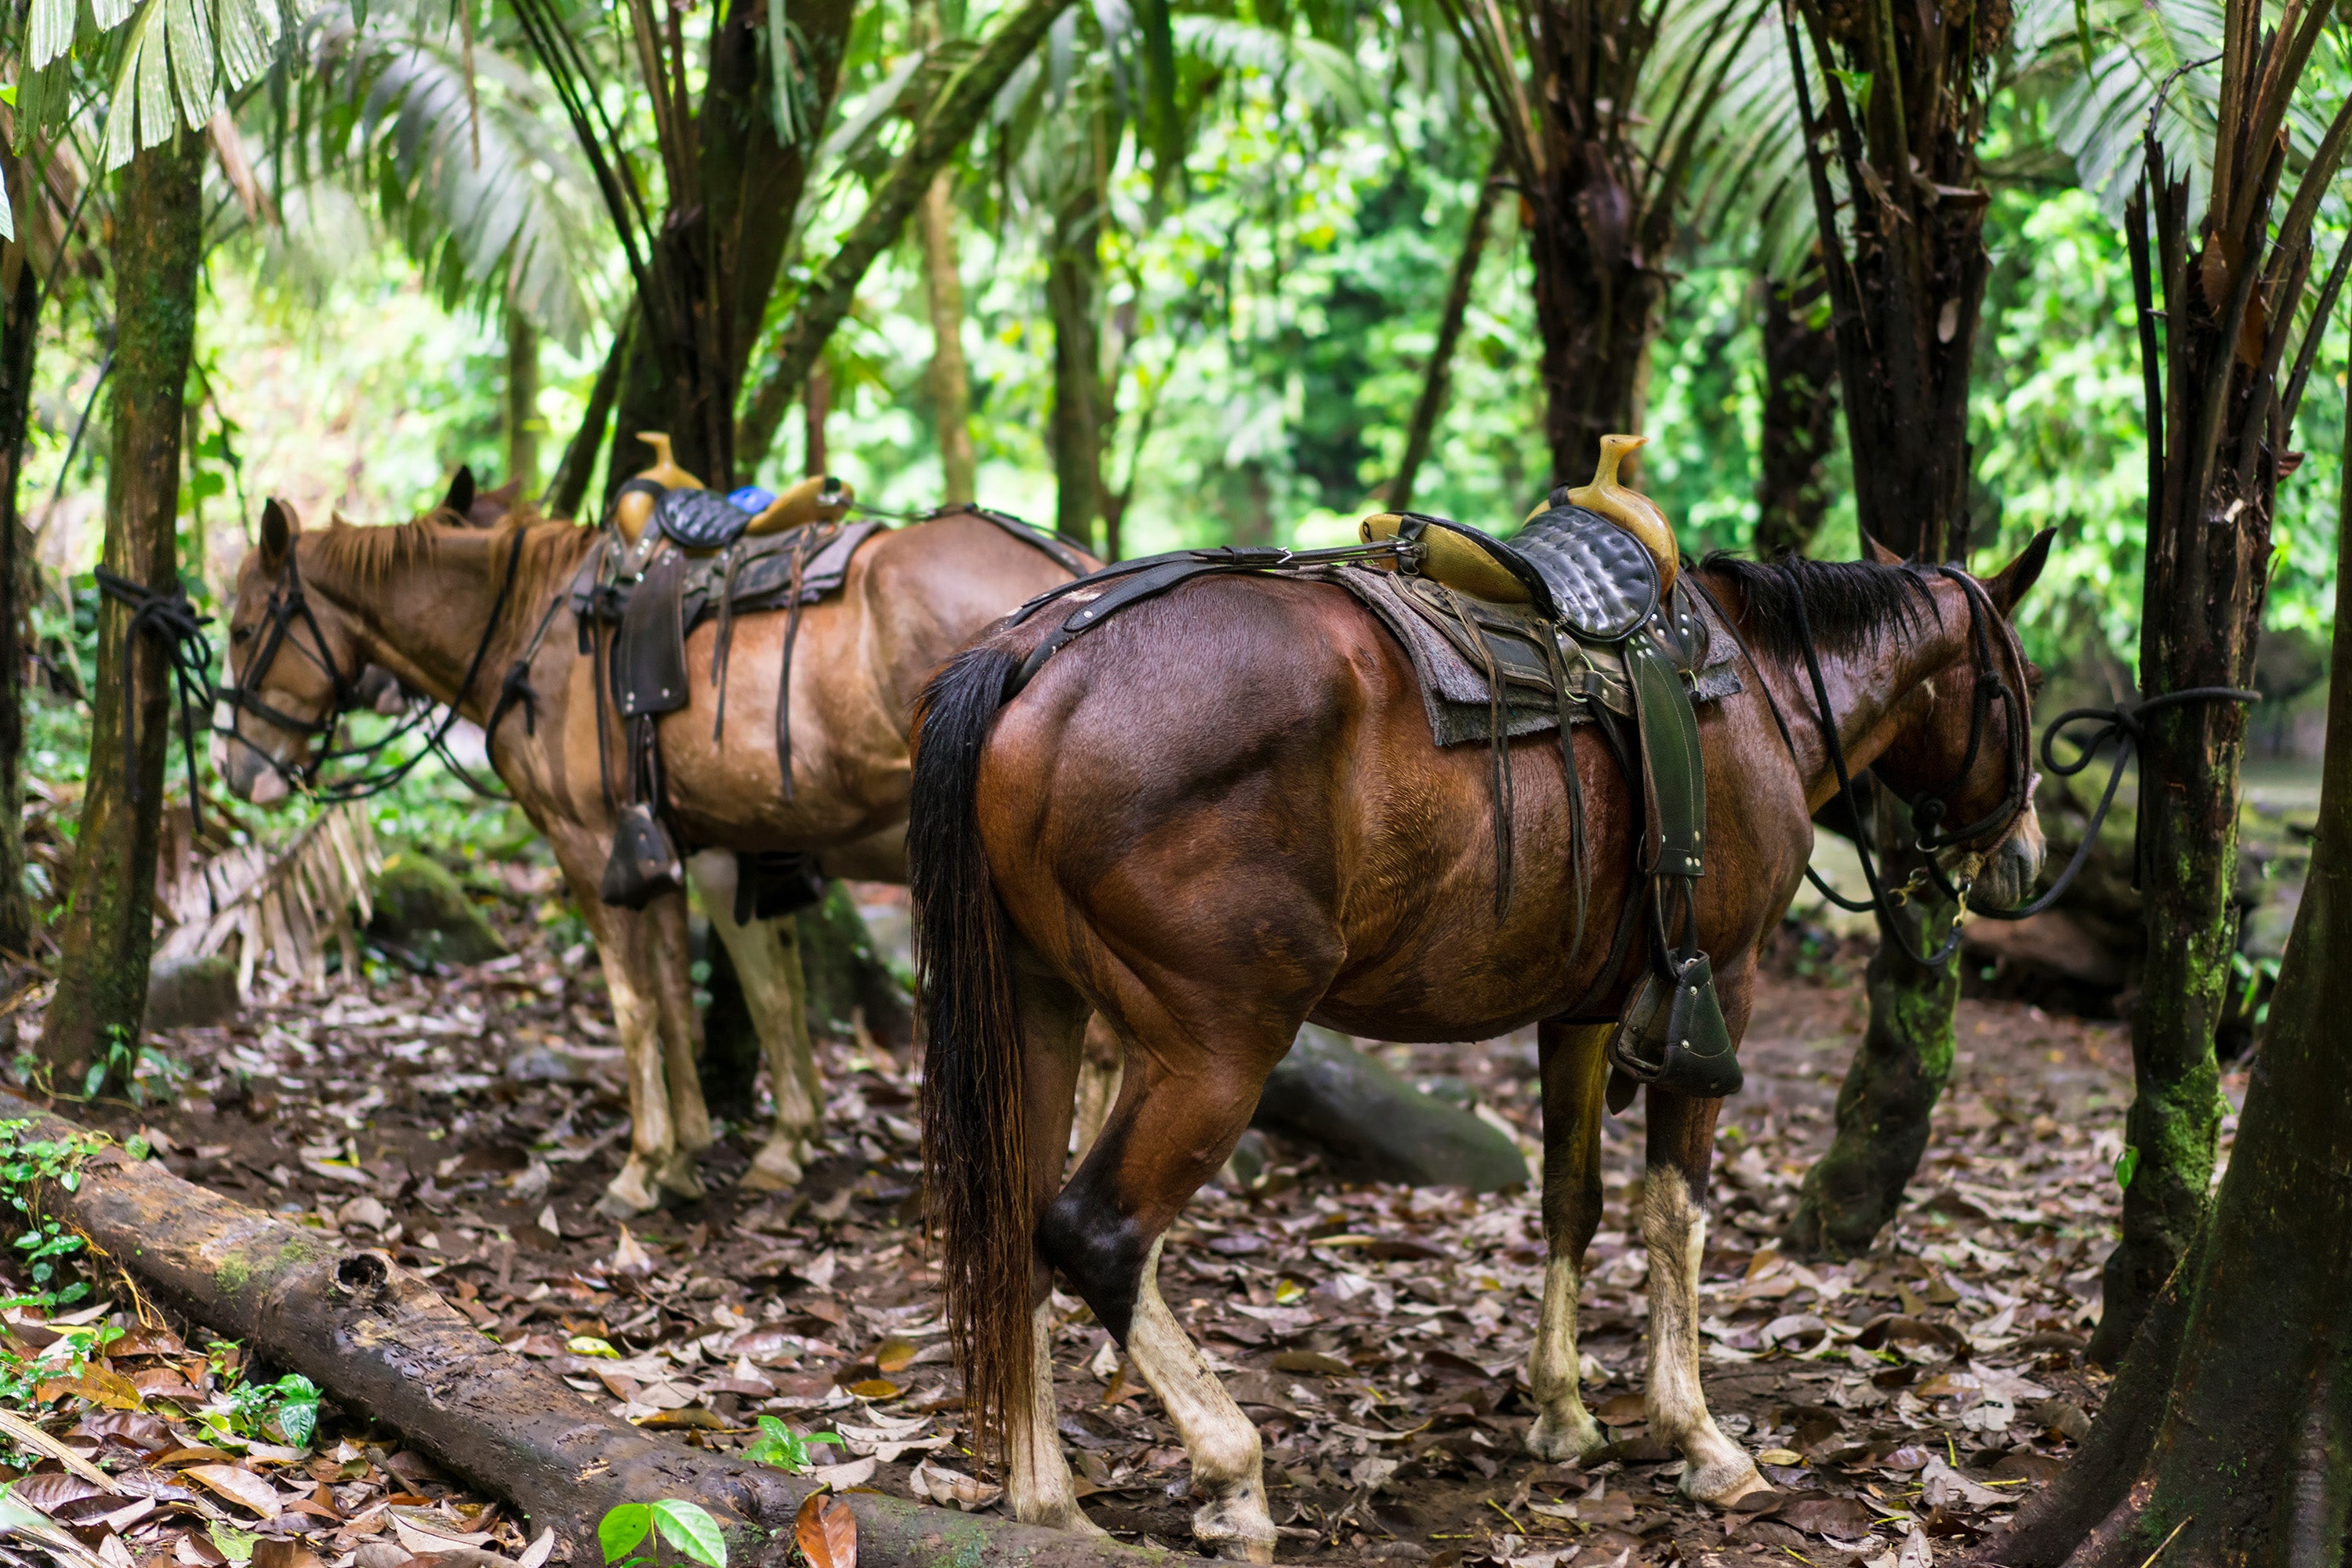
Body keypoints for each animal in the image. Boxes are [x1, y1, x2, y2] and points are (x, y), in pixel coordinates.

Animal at [212, 493, 1082, 1213]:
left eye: (244, 629)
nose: (236, 768)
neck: (533, 631)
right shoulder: (672, 846)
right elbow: (683, 992)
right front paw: (691, 1155)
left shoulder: (590, 843)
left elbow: (634, 1002)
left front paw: (643, 1165)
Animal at [908, 540, 2051, 1561]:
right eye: (2021, 688)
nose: (2027, 861)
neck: (1760, 693)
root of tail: (1031, 658)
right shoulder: (1717, 989)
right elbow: (1675, 1211)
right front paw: (1698, 1437)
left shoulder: (1580, 1011)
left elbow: (1572, 1197)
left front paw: (1564, 1412)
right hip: (1218, 1046)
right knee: (1095, 1234)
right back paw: (1230, 1474)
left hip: (1039, 1007)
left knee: (1013, 1228)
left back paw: (1048, 1499)